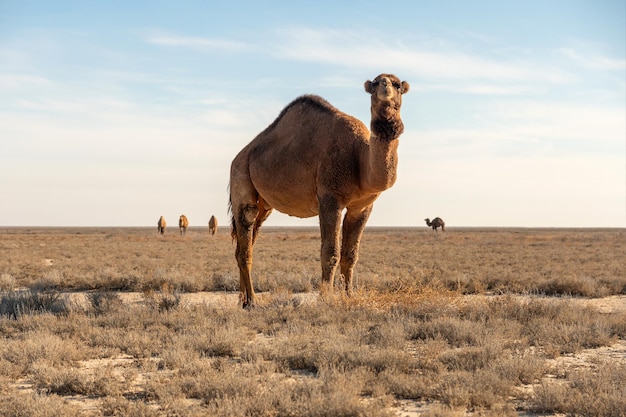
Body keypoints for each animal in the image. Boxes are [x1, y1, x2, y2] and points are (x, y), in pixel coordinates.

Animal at [229, 73, 410, 306]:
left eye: (397, 85)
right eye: (376, 83)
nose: (386, 86)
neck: (361, 158)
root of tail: (239, 156)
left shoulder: (362, 207)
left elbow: (350, 255)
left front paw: (349, 295)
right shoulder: (330, 199)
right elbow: (330, 253)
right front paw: (326, 297)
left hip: (264, 206)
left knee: (246, 243)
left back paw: (242, 300)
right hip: (241, 180)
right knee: (245, 241)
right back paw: (251, 301)